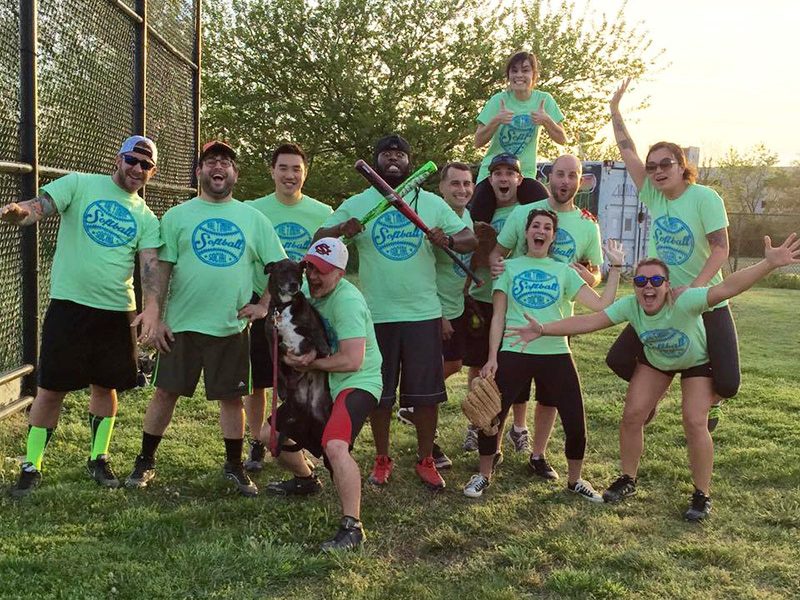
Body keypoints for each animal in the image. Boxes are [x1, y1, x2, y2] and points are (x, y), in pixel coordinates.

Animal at [264, 259, 333, 456]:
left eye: (297, 271)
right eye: (282, 271)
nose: (294, 284)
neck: (283, 307)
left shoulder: (311, 323)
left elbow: (315, 332)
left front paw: (324, 348)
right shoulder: (272, 341)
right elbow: (277, 368)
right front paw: (281, 389)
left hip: (321, 413)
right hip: (294, 407)